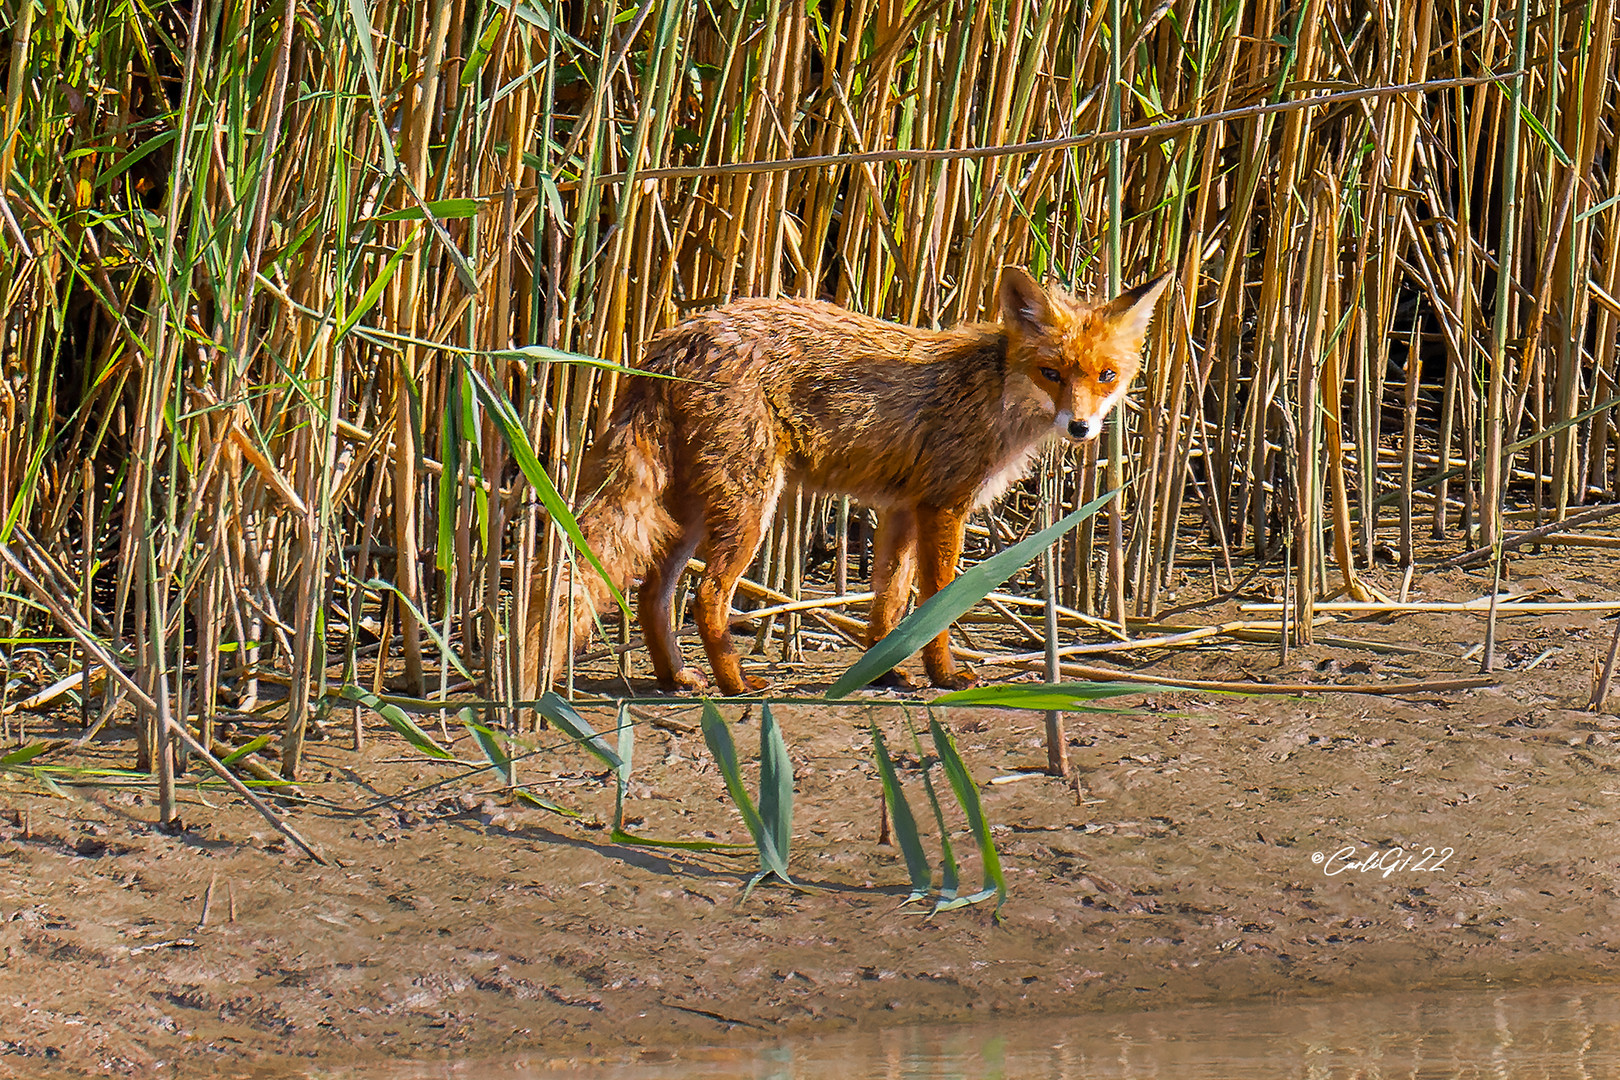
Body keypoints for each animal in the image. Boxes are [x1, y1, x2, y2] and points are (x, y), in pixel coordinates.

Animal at [524, 265, 1172, 696]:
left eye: (1106, 376)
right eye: (1052, 373)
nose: (1081, 428)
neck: (991, 392)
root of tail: (678, 337)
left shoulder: (902, 510)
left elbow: (889, 600)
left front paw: (888, 671)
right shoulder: (944, 506)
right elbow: (936, 601)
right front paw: (943, 674)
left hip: (691, 511)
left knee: (652, 592)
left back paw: (677, 676)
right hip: (749, 506)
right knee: (707, 596)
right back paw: (736, 684)